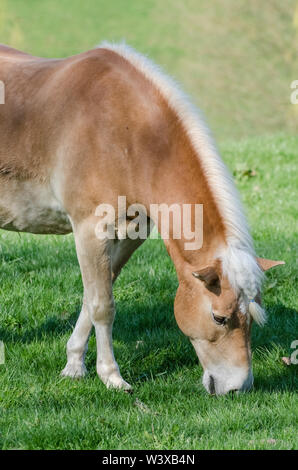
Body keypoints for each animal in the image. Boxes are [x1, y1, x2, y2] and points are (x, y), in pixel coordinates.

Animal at [0, 44, 284, 394]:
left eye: (254, 317)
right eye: (219, 317)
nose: (238, 388)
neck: (126, 132)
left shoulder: (130, 234)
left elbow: (92, 296)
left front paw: (74, 366)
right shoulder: (90, 231)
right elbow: (102, 306)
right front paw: (111, 376)